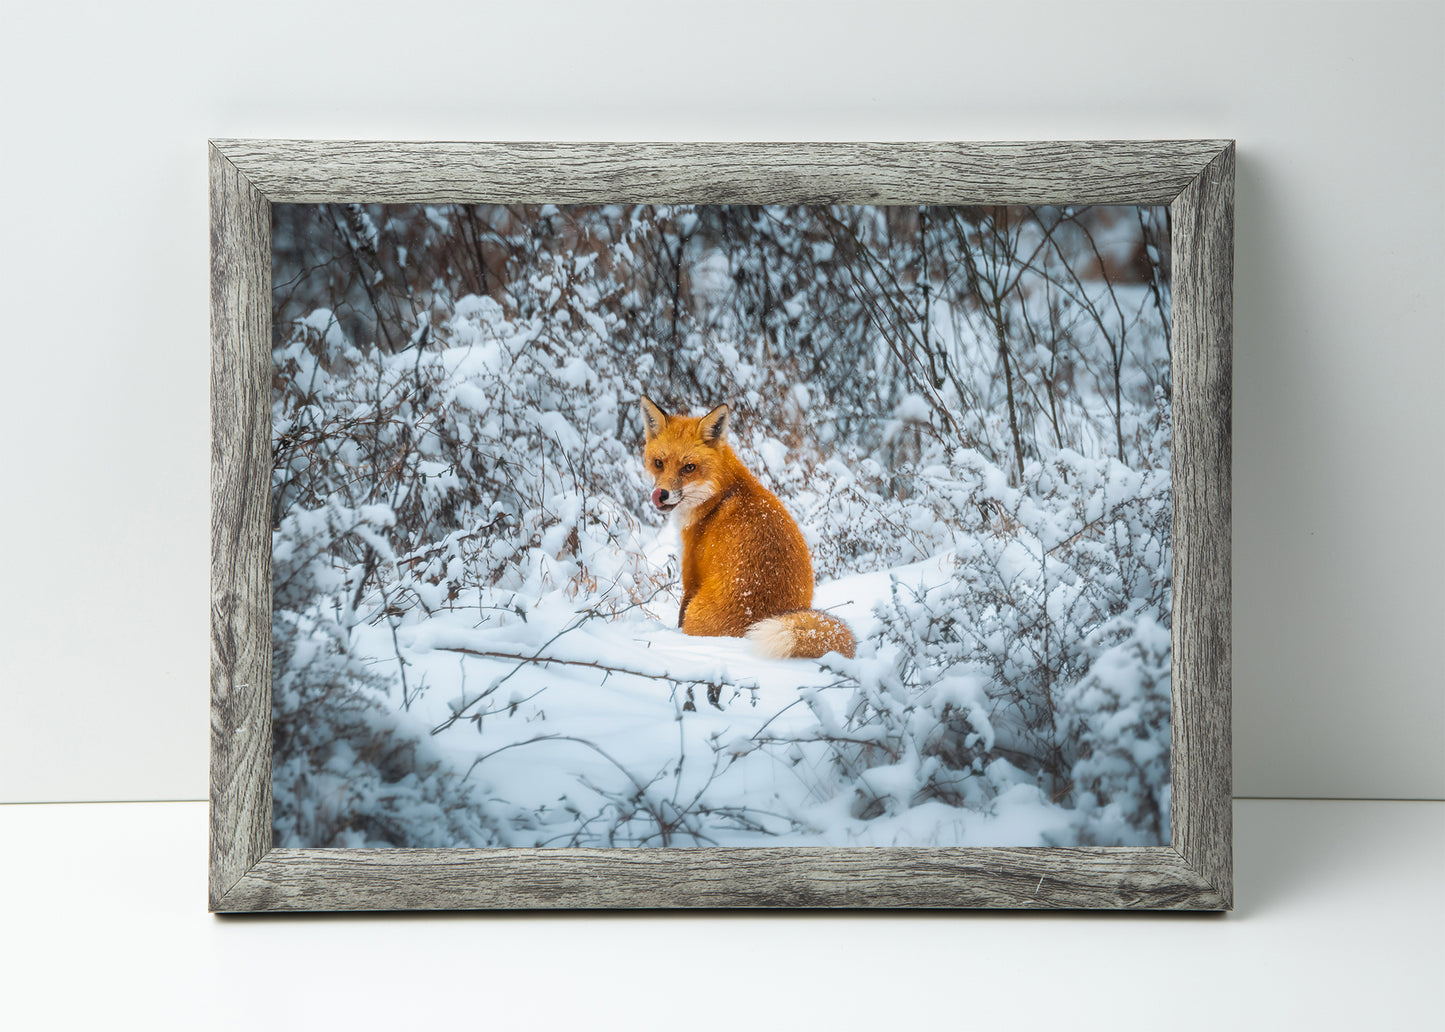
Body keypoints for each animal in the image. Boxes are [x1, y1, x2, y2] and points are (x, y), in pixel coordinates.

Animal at [639, 396, 856, 660]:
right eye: (658, 463)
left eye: (688, 468)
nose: (661, 494)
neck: (719, 494)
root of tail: (759, 619)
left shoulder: (691, 574)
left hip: (696, 611)